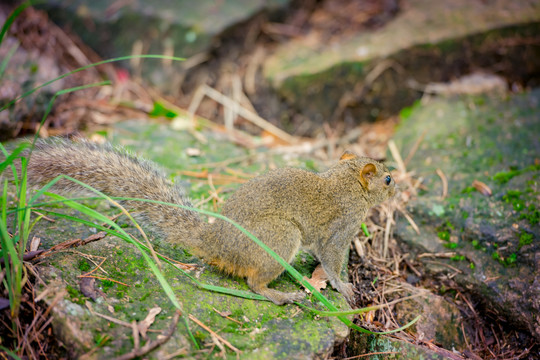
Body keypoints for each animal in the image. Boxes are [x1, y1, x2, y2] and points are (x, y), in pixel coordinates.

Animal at [24, 139, 396, 306]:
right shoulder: (340, 230)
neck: (345, 183)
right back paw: (280, 295)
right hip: (280, 237)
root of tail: (214, 243)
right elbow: (332, 261)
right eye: (388, 179)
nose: (400, 186)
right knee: (254, 282)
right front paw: (344, 287)